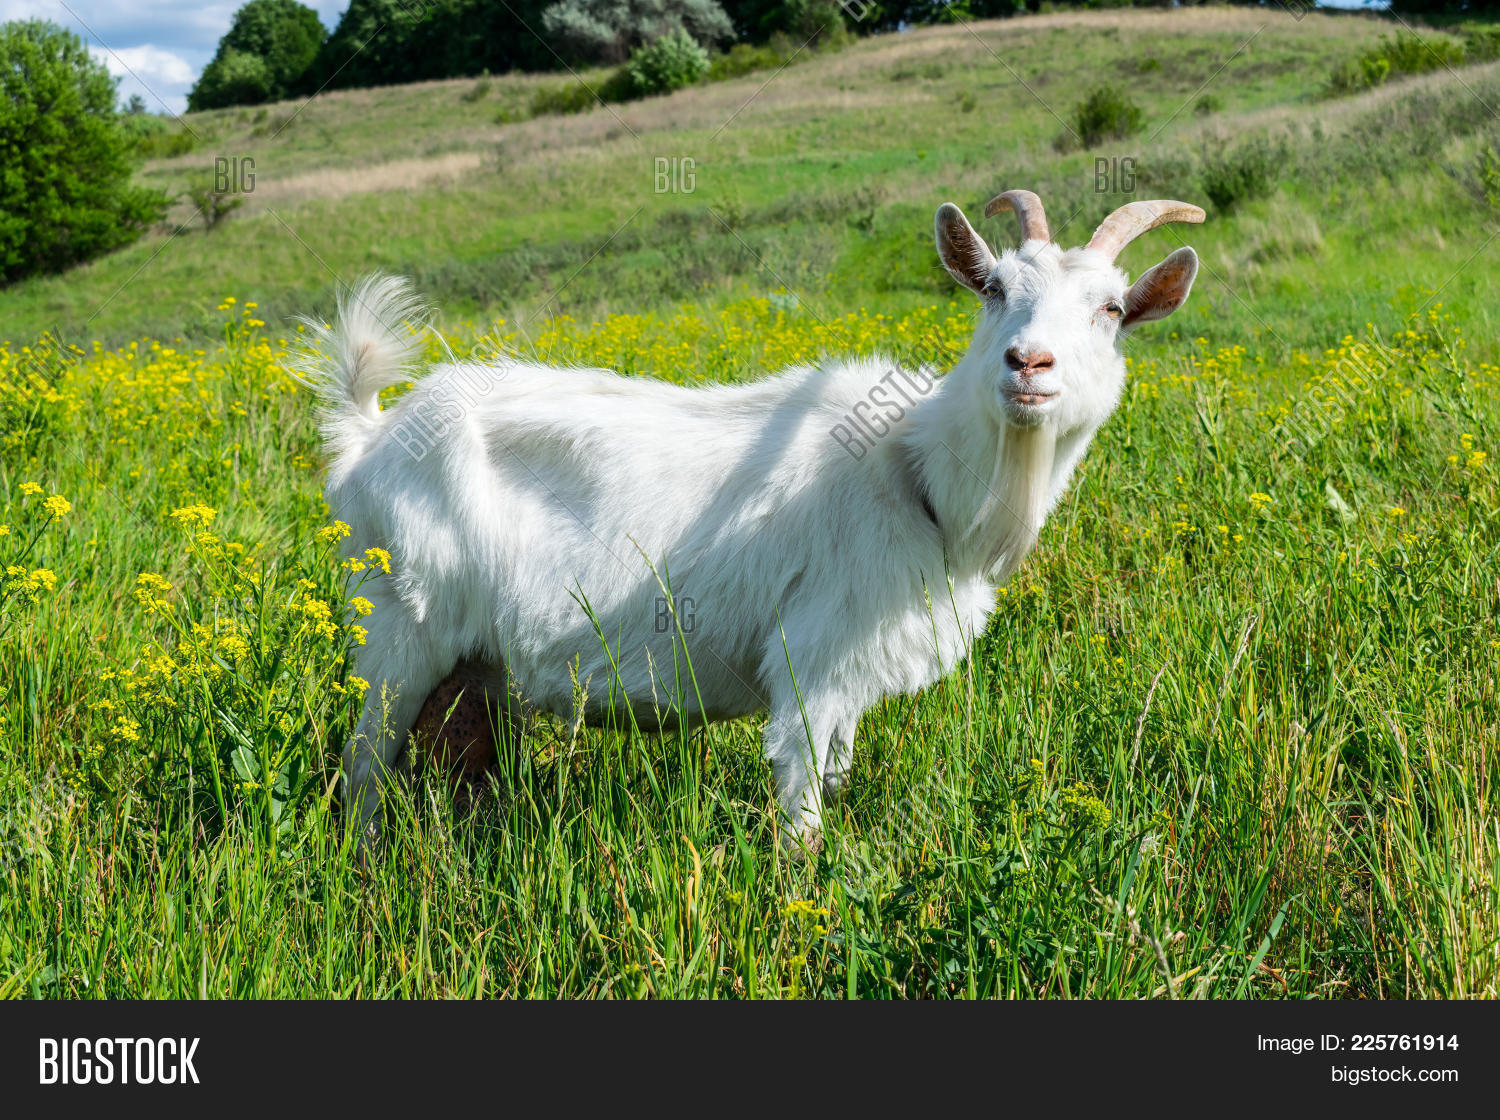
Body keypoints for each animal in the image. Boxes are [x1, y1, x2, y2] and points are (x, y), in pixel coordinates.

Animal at [294, 190, 1206, 854]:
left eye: (1112, 310)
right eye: (993, 289)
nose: (1029, 364)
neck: (920, 476)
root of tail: (370, 437)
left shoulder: (851, 677)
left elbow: (837, 778)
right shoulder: (811, 663)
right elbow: (802, 814)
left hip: (470, 660)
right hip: (399, 629)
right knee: (365, 764)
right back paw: (367, 867)